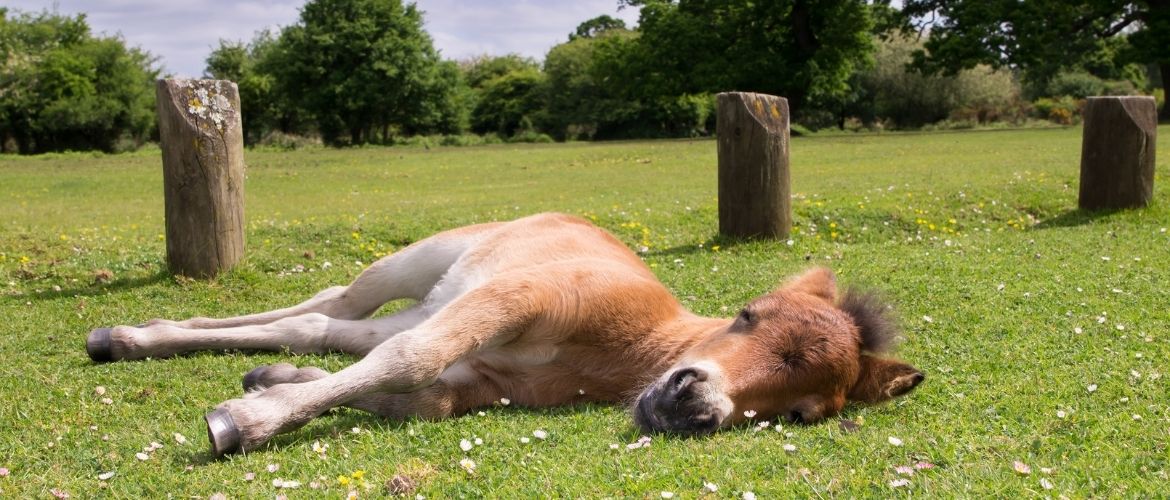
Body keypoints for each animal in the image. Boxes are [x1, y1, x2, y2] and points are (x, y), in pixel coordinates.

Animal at [86, 213, 921, 456]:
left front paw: (269, 390)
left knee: (321, 326)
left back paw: (135, 338)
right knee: (342, 301)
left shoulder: (481, 381)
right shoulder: (516, 298)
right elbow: (410, 359)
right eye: (749, 316)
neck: (624, 349)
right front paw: (243, 422)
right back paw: (129, 333)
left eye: (799, 414)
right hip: (427, 266)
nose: (694, 408)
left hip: (432, 301)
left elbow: (415, 392)